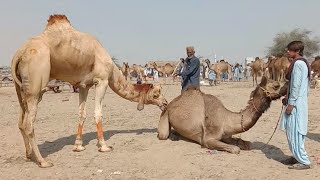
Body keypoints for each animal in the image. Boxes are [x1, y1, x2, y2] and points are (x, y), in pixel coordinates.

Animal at [10, 14, 168, 168]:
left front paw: (78, 146)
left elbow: (81, 114)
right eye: (156, 94)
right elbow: (98, 113)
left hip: (20, 88)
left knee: (20, 122)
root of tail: (19, 53)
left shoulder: (83, 86)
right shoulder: (102, 80)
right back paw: (43, 161)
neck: (112, 69)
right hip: (36, 84)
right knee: (28, 124)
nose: (165, 103)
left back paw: (29, 155)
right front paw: (104, 146)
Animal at [158, 76, 288, 154]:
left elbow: (246, 144)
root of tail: (170, 103)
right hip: (165, 114)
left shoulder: (227, 136)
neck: (226, 119)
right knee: (164, 134)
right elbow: (236, 149)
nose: (286, 89)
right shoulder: (208, 139)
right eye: (276, 86)